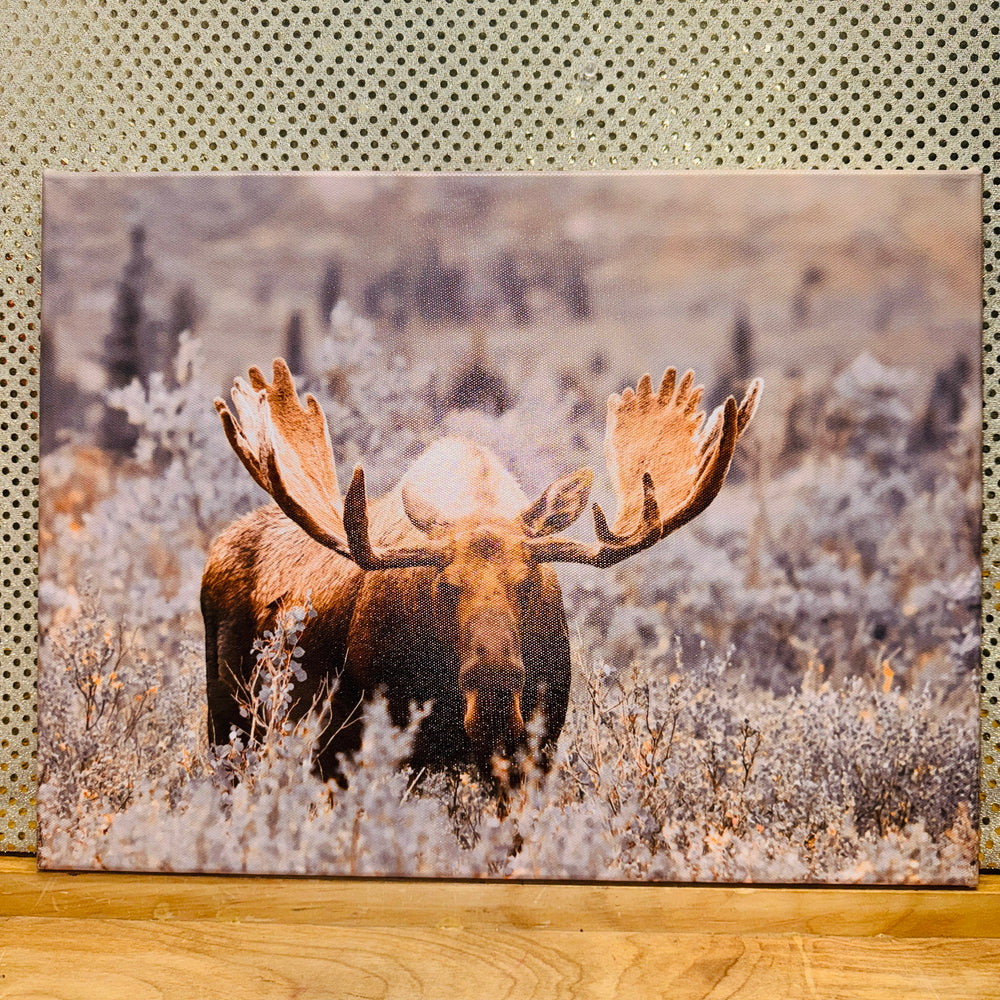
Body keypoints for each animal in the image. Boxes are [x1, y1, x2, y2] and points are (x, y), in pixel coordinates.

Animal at [201, 358, 761, 788]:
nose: (493, 698)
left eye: (528, 583)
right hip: (232, 721)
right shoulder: (355, 745)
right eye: (443, 588)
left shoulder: (533, 753)